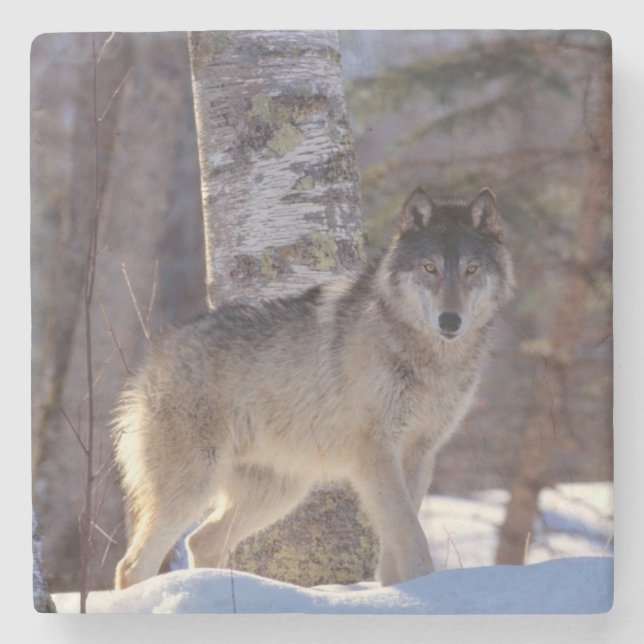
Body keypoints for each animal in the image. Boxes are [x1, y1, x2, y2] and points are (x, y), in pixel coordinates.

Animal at [112, 187, 514, 589]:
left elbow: (397, 540)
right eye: (429, 268)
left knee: (200, 541)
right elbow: (410, 534)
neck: (429, 359)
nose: (450, 321)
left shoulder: (419, 453)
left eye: (471, 270)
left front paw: (396, 591)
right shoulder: (376, 454)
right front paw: (421, 588)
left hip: (280, 493)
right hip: (194, 487)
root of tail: (154, 358)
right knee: (132, 565)